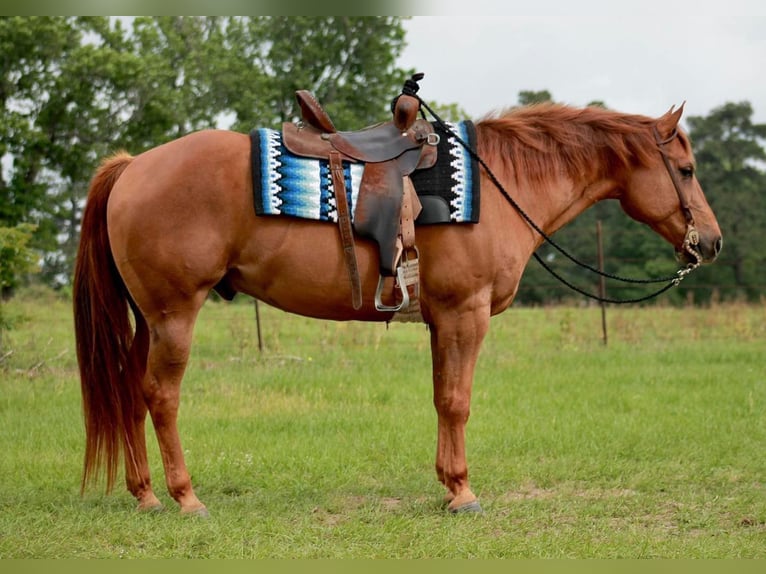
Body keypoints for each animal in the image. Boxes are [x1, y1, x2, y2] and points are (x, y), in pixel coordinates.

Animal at [75, 100, 724, 516]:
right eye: (687, 169)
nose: (712, 243)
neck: (500, 184)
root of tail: (132, 166)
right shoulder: (466, 314)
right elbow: (459, 402)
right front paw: (463, 492)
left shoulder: (443, 320)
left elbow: (442, 400)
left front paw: (447, 484)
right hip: (173, 315)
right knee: (160, 396)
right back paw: (185, 498)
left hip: (146, 320)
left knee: (131, 392)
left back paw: (145, 494)